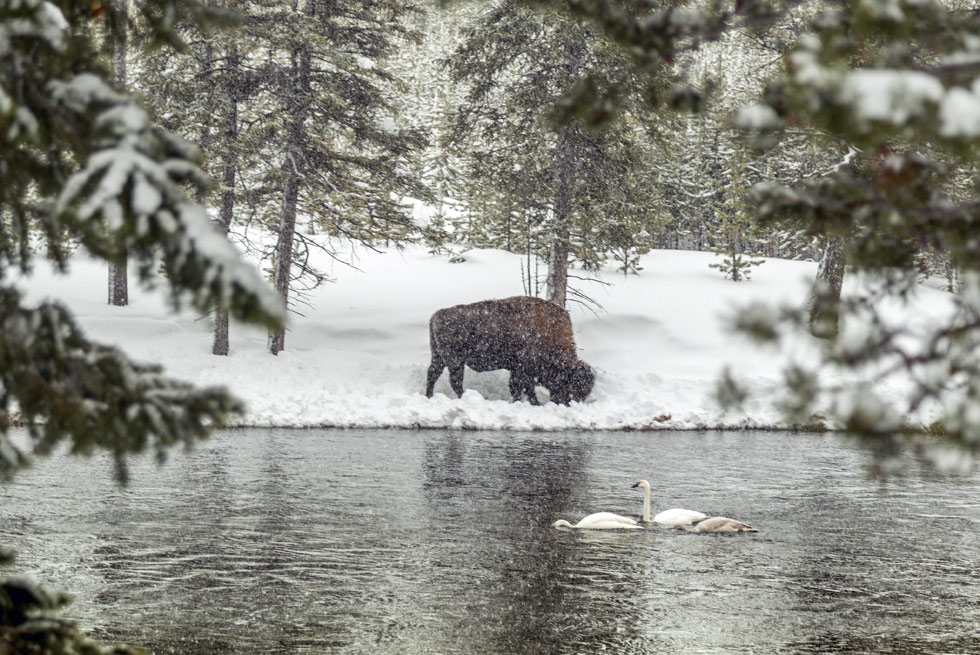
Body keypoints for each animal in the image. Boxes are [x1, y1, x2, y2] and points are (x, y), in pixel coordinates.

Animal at [424, 296, 594, 405]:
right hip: (455, 361)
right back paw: (465, 398)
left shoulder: (517, 369)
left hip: (439, 357)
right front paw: (535, 403)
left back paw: (429, 396)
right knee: (455, 381)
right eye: (573, 384)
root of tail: (437, 315)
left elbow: (517, 387)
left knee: (433, 373)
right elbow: (523, 387)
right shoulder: (523, 369)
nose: (571, 403)